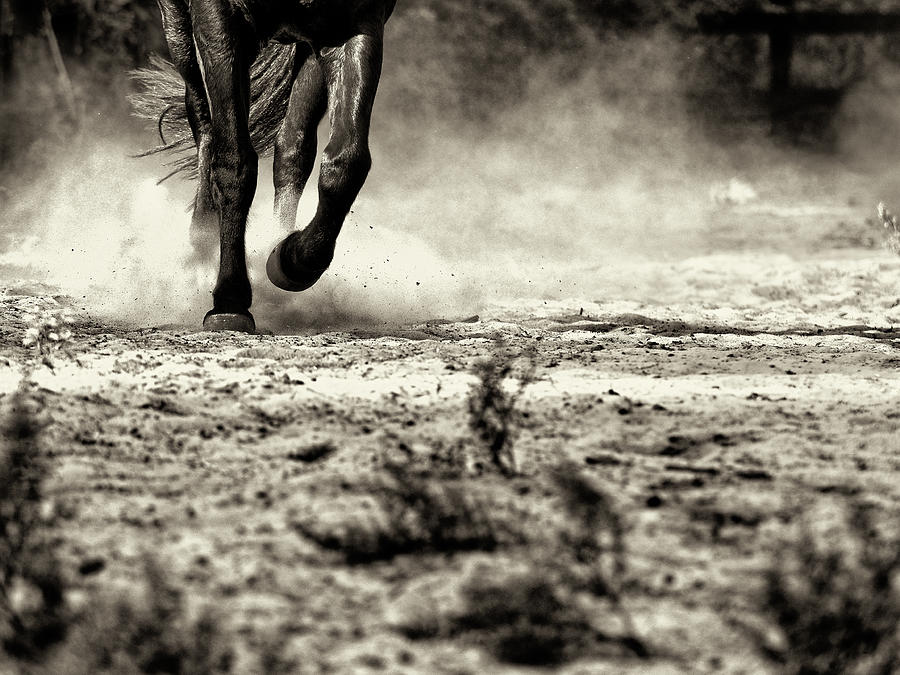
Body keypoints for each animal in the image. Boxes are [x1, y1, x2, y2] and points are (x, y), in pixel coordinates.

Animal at [133, 0, 398, 332]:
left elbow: (346, 161)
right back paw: (203, 241)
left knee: (292, 145)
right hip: (180, 28)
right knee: (202, 119)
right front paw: (230, 300)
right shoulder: (218, 20)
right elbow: (234, 160)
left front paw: (290, 259)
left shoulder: (354, 23)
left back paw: (275, 240)